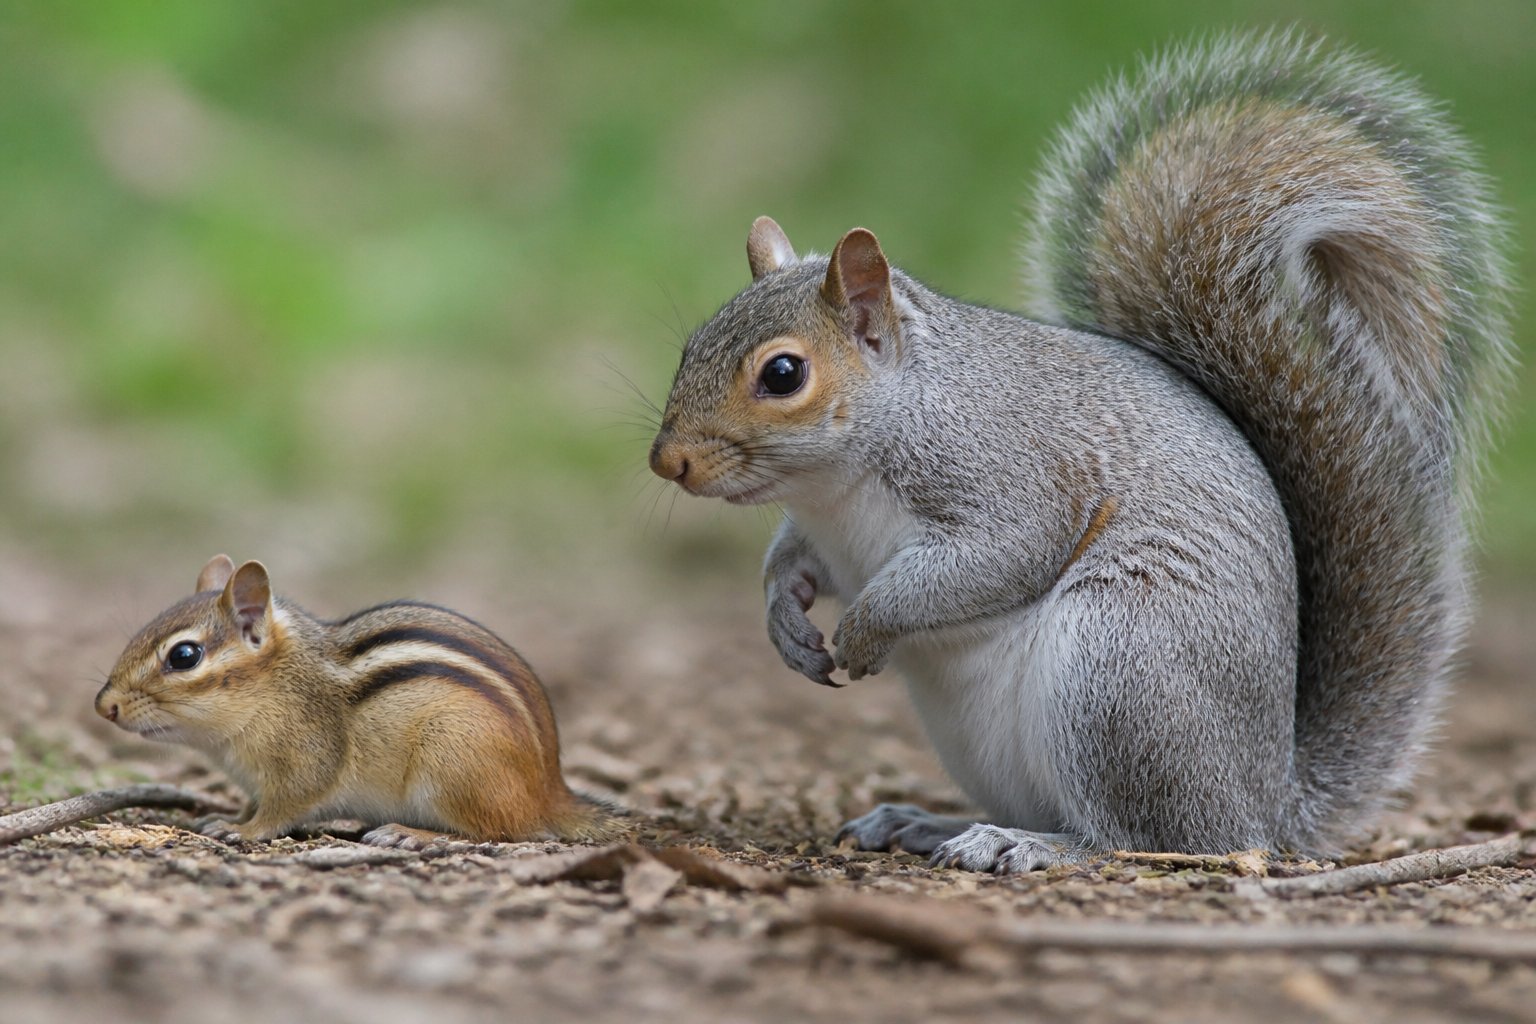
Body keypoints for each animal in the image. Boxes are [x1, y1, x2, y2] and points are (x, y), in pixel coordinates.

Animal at [95, 555, 622, 848]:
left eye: (184, 656)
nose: (105, 707)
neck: (275, 686)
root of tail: (550, 791)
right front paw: (228, 817)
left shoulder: (305, 761)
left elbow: (281, 810)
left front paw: (244, 831)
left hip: (454, 758)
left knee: (503, 829)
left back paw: (413, 833)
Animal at [648, 31, 1513, 872]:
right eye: (691, 345)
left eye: (783, 374)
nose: (669, 462)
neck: (838, 481)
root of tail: (1267, 804)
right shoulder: (821, 530)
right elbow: (793, 563)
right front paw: (785, 623)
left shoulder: (1009, 475)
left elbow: (996, 555)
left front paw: (865, 627)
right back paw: (929, 823)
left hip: (1120, 664)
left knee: (1149, 838)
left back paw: (1030, 844)